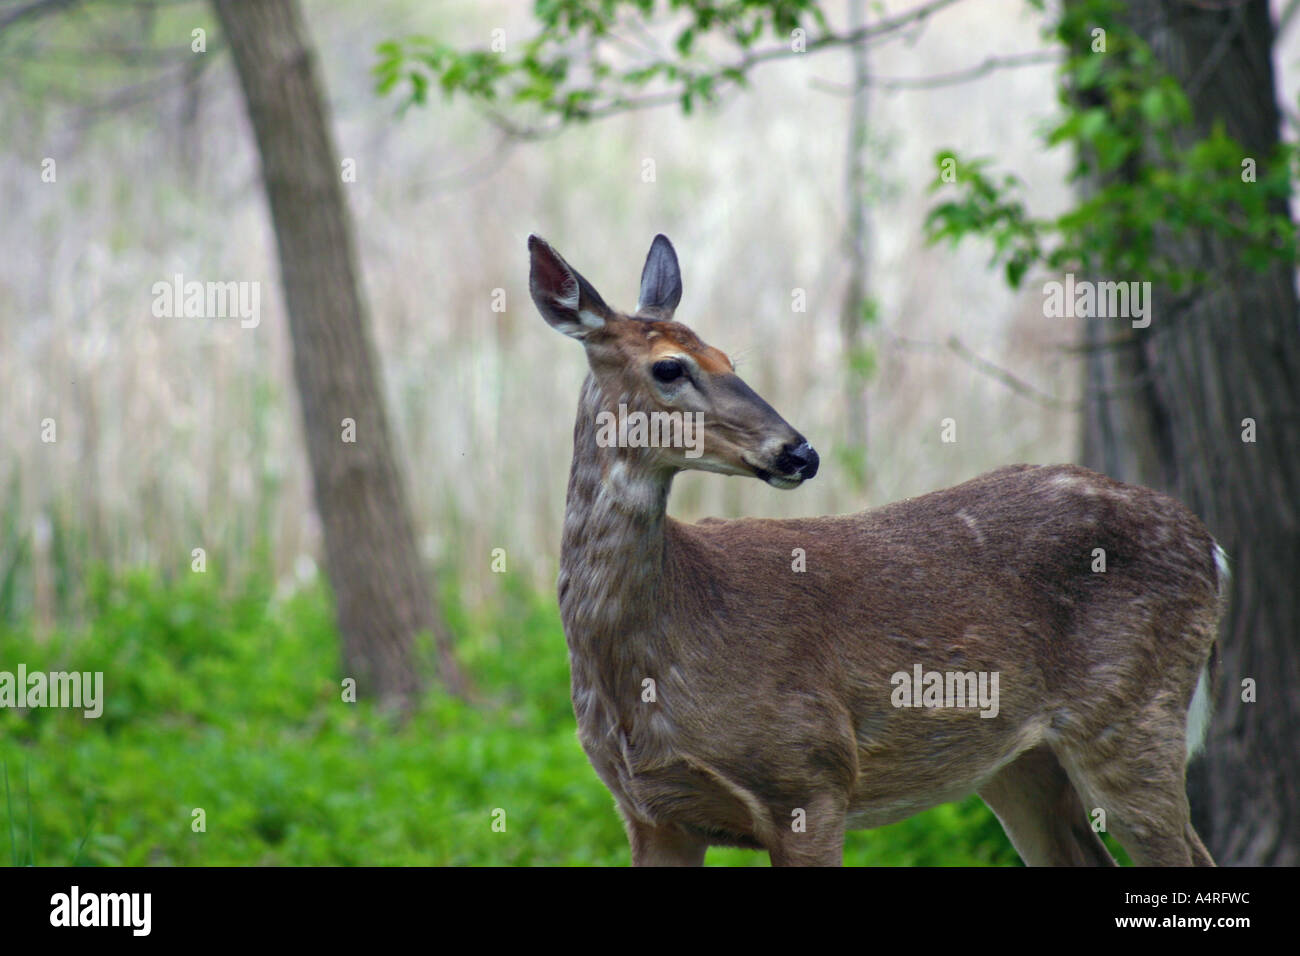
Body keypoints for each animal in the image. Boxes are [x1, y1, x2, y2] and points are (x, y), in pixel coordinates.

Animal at [525, 231, 1216, 868]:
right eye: (669, 366)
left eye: (728, 357)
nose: (799, 452)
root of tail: (1208, 543)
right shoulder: (651, 811)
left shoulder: (812, 772)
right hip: (1021, 762)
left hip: (1133, 715)